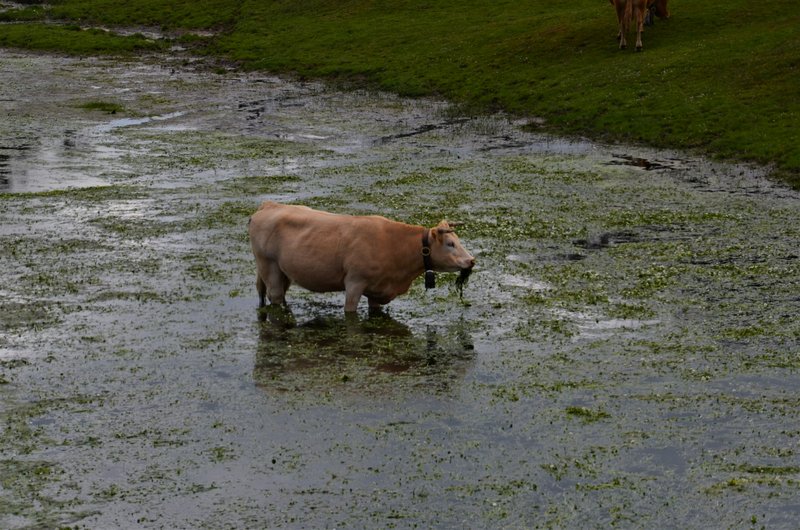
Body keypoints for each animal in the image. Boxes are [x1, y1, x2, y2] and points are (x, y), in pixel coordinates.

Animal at [248, 201, 476, 310]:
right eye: (450, 243)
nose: (471, 260)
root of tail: (269, 205)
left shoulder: (377, 290)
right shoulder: (354, 283)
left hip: (283, 271)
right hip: (268, 266)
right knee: (275, 296)